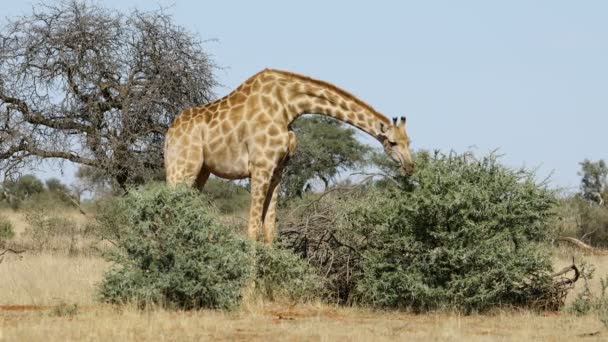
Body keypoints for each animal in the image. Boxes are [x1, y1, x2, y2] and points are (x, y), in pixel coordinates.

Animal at [164, 69, 416, 243]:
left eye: (409, 141)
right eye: (392, 142)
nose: (410, 167)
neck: (289, 106)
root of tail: (169, 135)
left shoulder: (277, 171)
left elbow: (269, 230)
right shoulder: (261, 167)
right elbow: (253, 229)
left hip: (201, 173)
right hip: (182, 169)